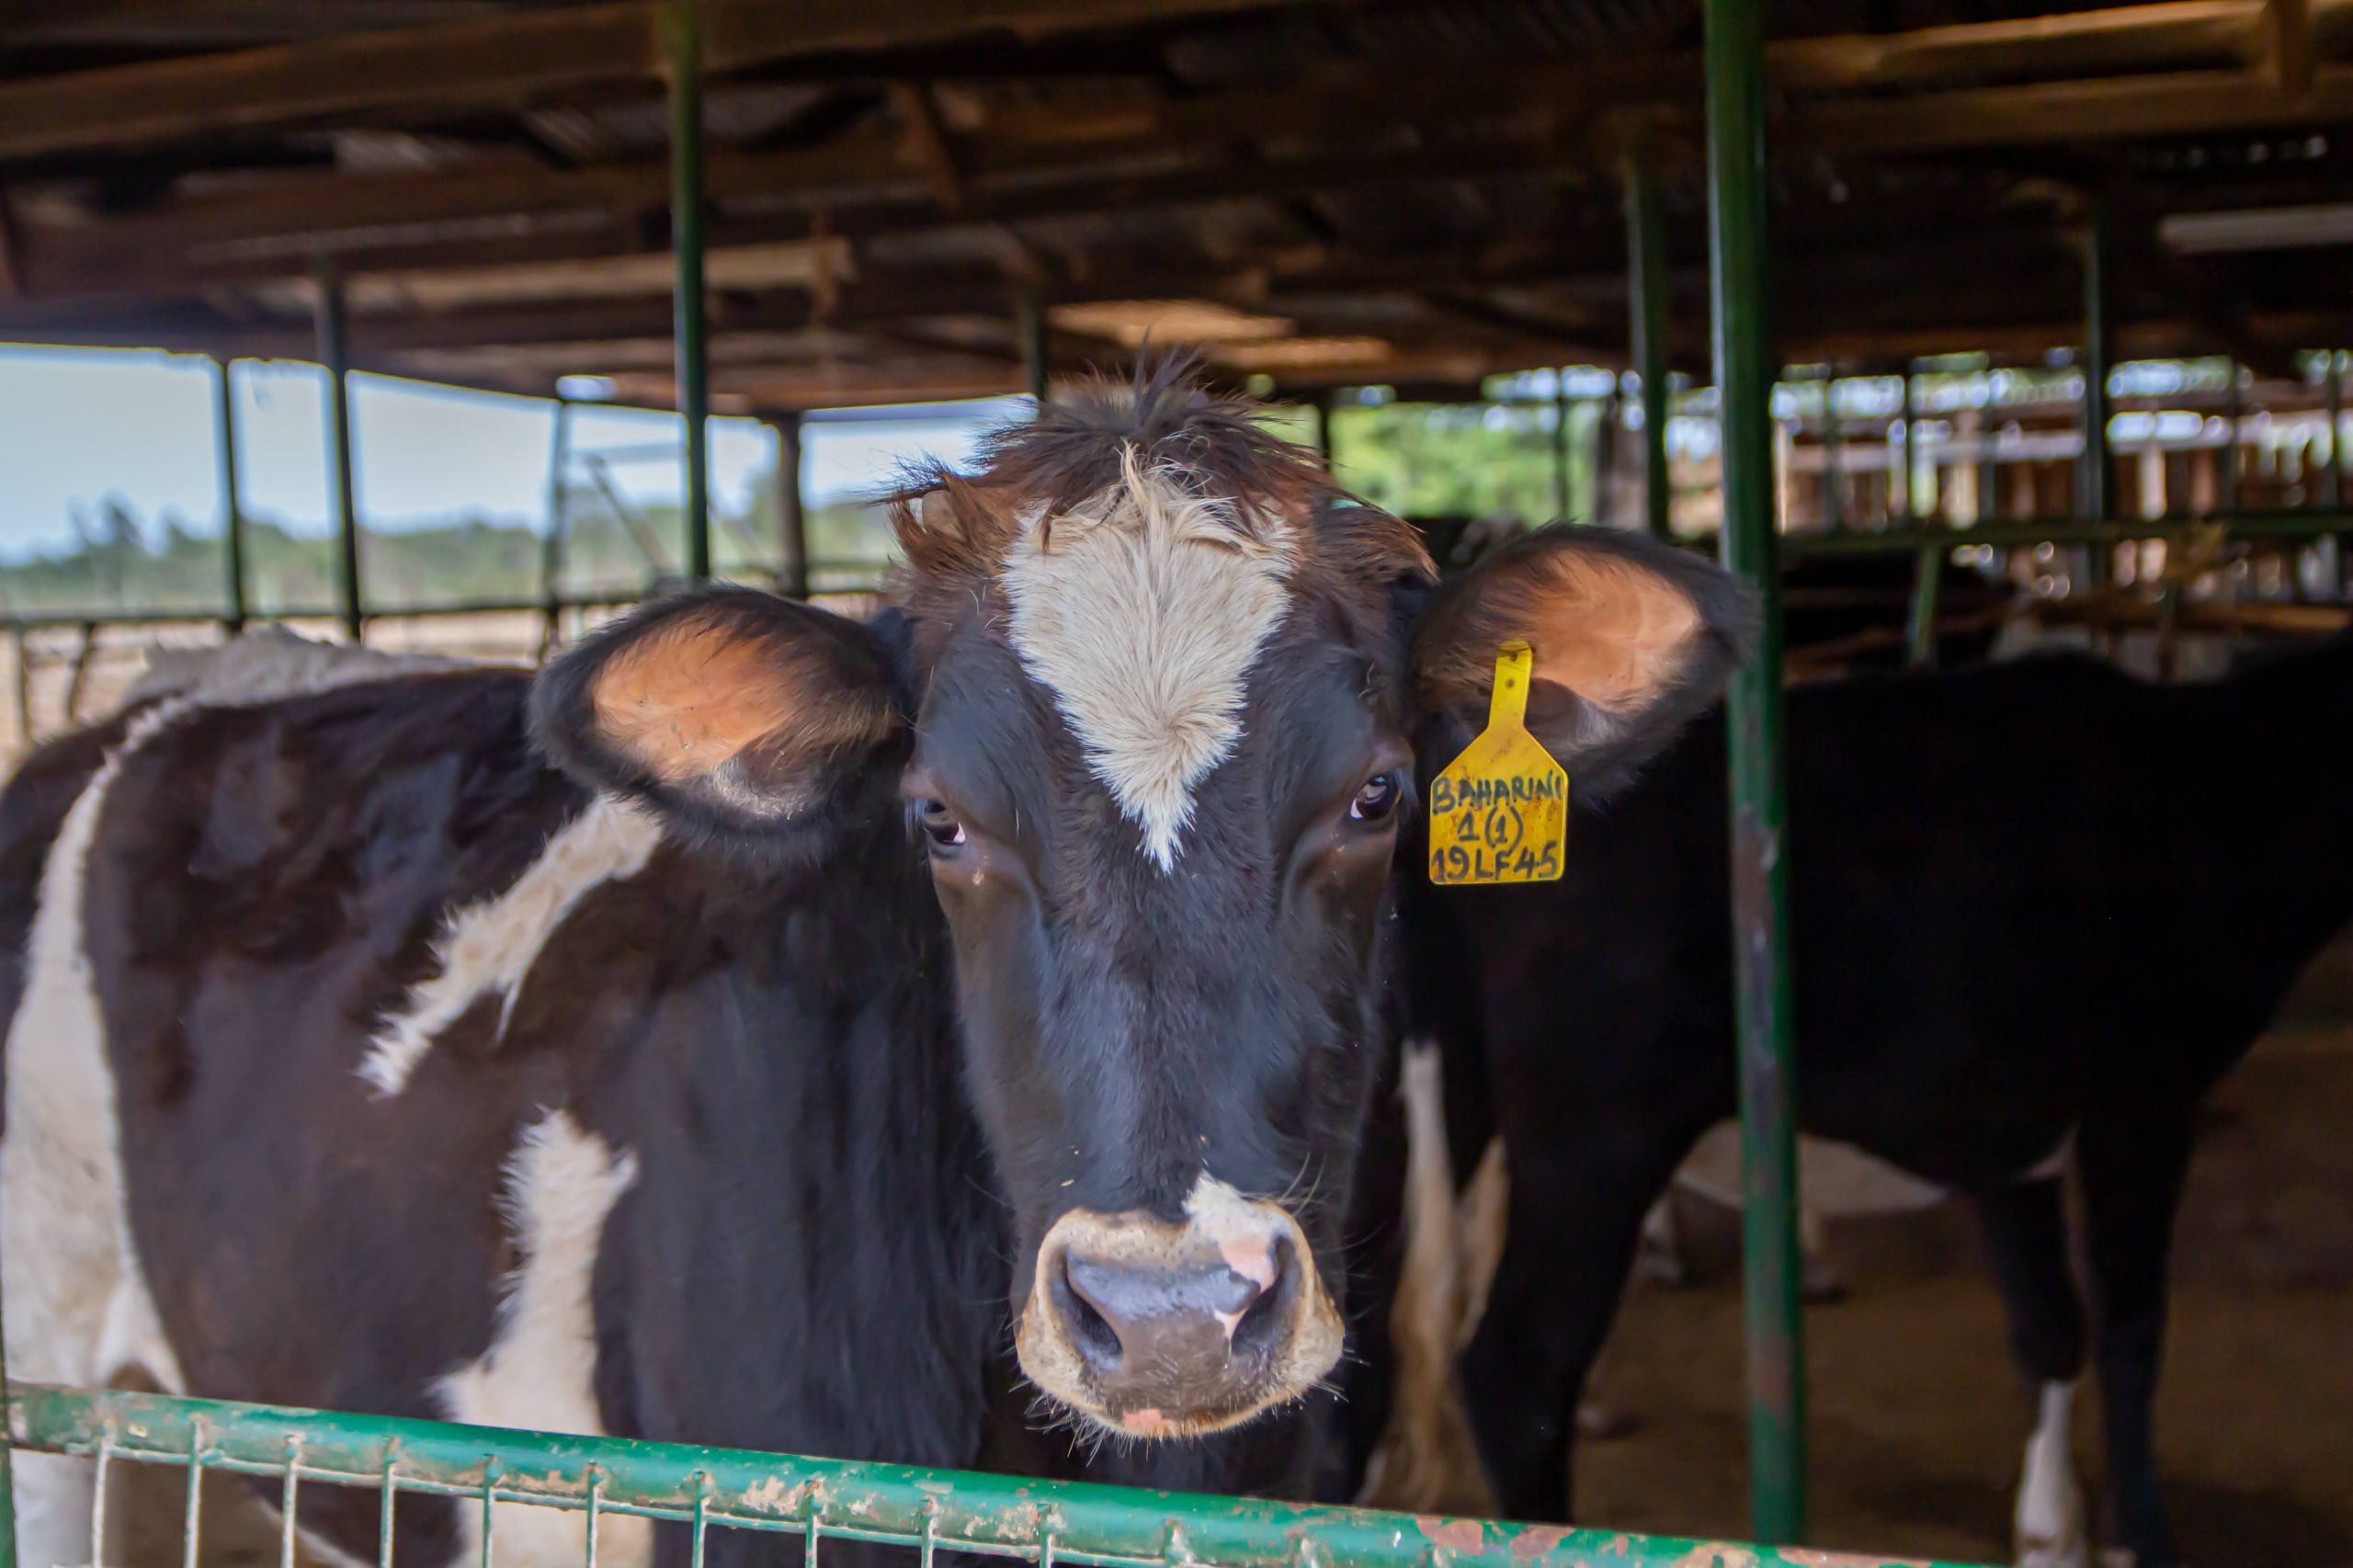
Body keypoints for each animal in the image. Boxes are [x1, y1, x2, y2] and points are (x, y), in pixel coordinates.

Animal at [1399, 634, 2353, 1568]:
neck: (2200, 788)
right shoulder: (2142, 1102)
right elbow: (2131, 1330)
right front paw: (2140, 1538)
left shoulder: (2011, 1124)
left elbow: (2048, 1328)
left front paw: (2052, 1533)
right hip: (1599, 1131)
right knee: (1516, 1371)